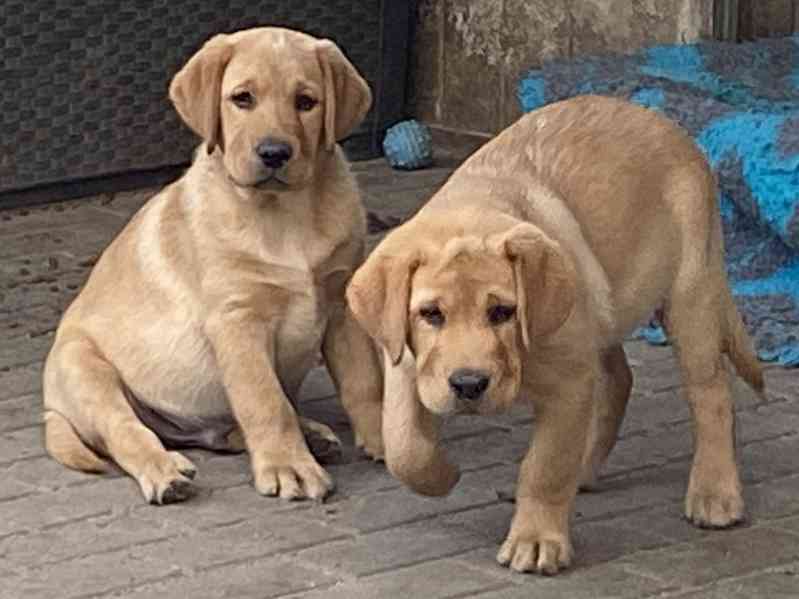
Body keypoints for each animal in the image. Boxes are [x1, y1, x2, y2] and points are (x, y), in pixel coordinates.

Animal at [42, 28, 386, 506]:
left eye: (306, 102)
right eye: (242, 98)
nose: (274, 152)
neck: (285, 214)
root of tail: (51, 408)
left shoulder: (341, 303)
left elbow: (363, 381)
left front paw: (386, 441)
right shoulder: (237, 319)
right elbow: (265, 399)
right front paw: (289, 467)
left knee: (225, 431)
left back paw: (312, 435)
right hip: (85, 368)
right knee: (126, 430)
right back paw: (165, 472)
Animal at [346, 96, 764, 576]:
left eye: (503, 312)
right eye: (431, 314)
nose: (469, 385)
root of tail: (662, 121)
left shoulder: (568, 384)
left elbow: (545, 467)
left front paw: (535, 540)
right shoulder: (404, 363)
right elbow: (404, 447)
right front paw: (442, 474)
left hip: (689, 294)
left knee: (710, 394)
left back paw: (714, 492)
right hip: (603, 314)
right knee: (619, 380)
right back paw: (585, 470)